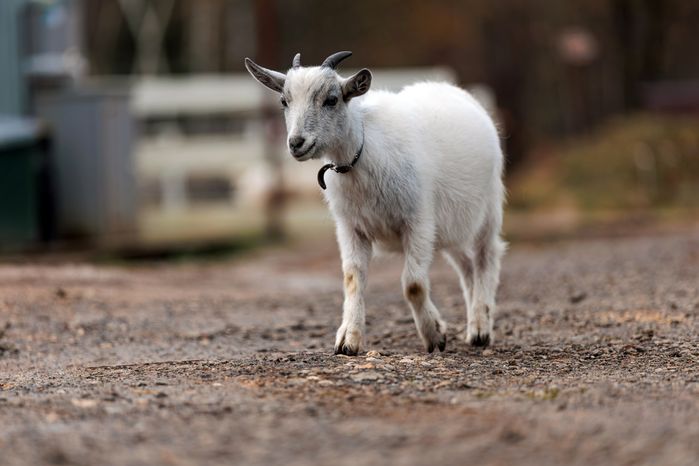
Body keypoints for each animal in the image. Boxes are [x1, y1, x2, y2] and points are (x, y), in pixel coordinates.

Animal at [245, 51, 506, 355]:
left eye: (331, 99)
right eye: (284, 101)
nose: (297, 143)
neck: (361, 154)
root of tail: (454, 90)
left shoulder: (418, 221)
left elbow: (413, 284)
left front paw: (434, 336)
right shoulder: (351, 227)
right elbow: (352, 279)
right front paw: (349, 340)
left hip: (488, 208)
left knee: (487, 256)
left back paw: (480, 329)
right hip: (451, 228)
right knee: (466, 266)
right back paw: (474, 322)